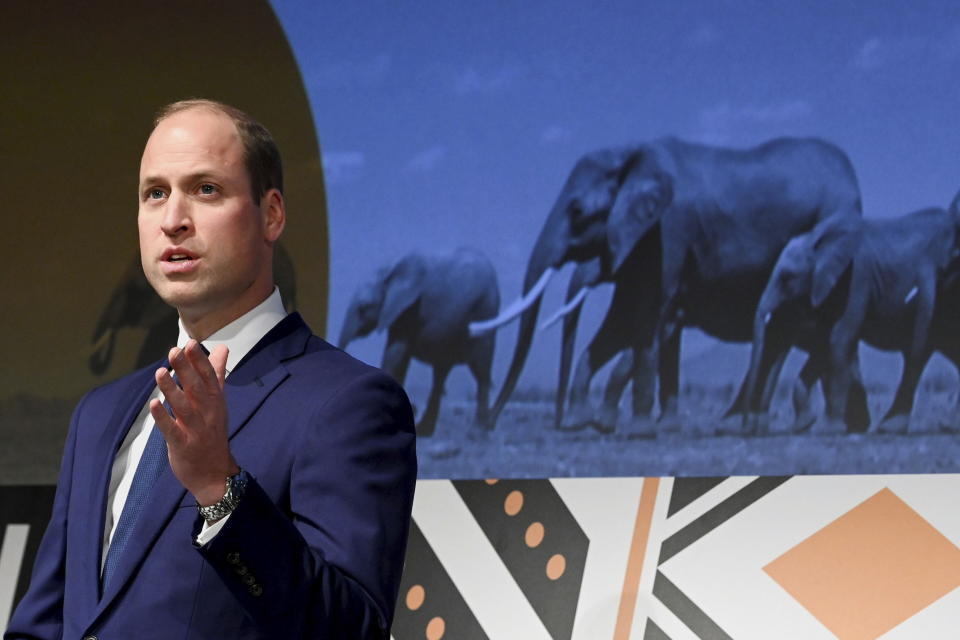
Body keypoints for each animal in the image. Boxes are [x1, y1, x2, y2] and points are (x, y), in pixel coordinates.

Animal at [340, 248, 502, 438]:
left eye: (364, 307)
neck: (389, 271)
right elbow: (400, 356)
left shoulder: (409, 309)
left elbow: (396, 352)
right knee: (440, 375)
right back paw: (425, 430)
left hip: (484, 312)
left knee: (480, 371)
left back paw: (477, 432)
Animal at [480, 137, 864, 432]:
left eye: (576, 211)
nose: (486, 426)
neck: (631, 156)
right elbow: (622, 323)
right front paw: (588, 423)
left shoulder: (671, 231)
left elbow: (649, 321)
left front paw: (619, 427)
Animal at [748, 204, 960, 436]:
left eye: (787, 278)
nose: (750, 428)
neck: (818, 240)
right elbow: (824, 344)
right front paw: (803, 425)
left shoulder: (857, 277)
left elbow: (838, 339)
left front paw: (829, 429)